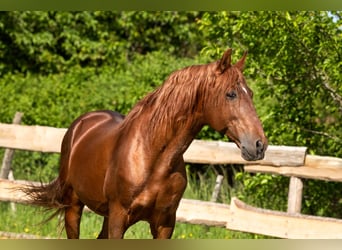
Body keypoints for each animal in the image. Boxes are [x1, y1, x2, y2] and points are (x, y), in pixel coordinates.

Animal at [23, 48, 268, 238]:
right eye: (231, 94)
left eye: (251, 93)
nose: (259, 145)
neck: (152, 157)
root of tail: (81, 124)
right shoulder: (119, 218)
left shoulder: (165, 223)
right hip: (73, 206)